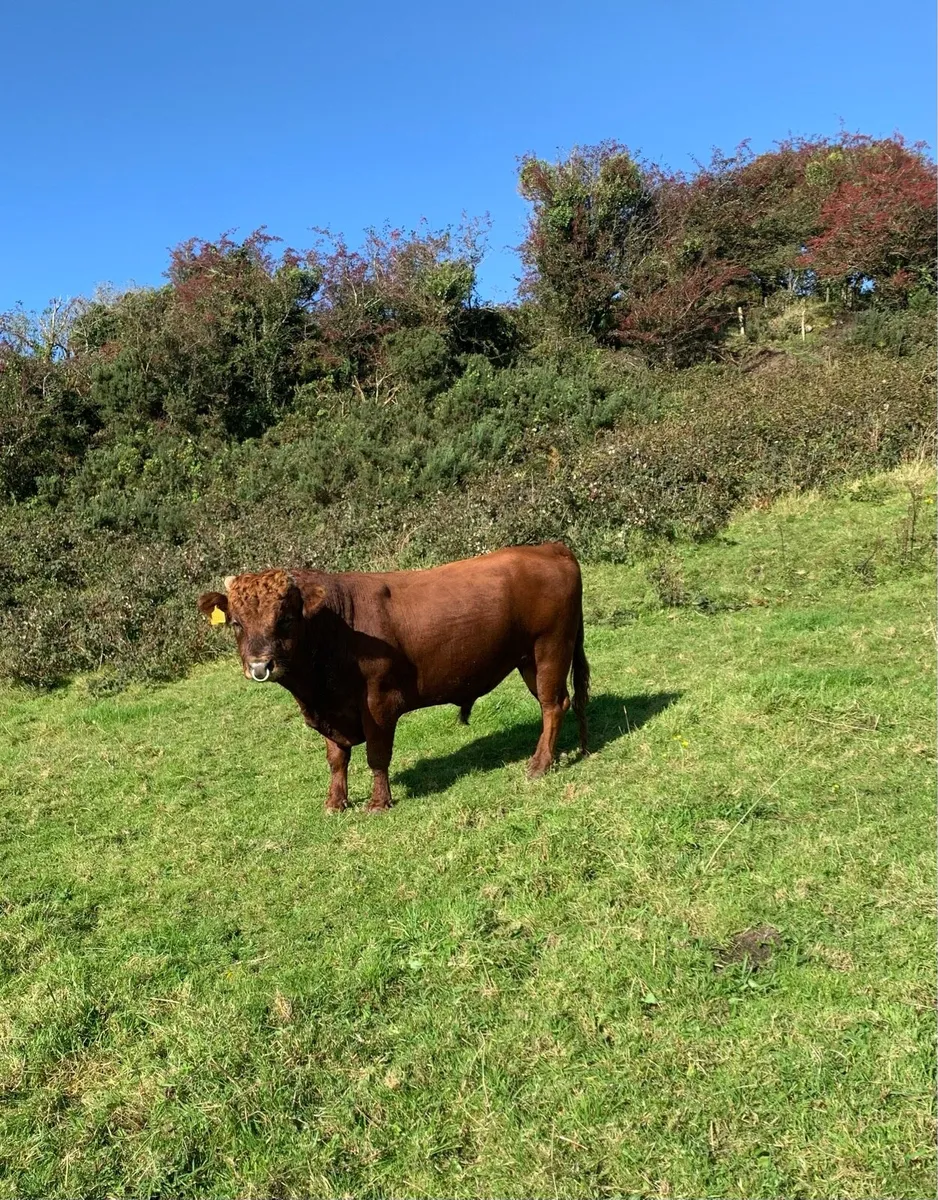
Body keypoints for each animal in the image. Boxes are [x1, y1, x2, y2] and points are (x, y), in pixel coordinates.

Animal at [197, 543, 590, 813]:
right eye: (236, 623)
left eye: (286, 619)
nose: (260, 666)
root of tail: (549, 548)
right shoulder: (331, 710)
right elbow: (336, 758)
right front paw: (335, 802)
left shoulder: (378, 702)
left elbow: (377, 755)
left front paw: (378, 803)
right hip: (530, 659)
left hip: (550, 649)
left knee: (554, 704)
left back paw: (539, 765)